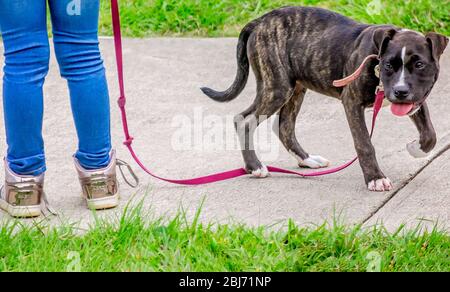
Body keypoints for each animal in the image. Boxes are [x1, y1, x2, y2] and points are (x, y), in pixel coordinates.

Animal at [202, 6, 448, 192]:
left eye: (419, 64)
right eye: (388, 65)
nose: (400, 91)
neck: (375, 61)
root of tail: (259, 21)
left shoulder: (416, 99)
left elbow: (430, 134)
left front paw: (416, 147)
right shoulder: (352, 102)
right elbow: (364, 143)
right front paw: (375, 178)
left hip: (296, 87)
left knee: (284, 125)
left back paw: (307, 159)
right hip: (277, 86)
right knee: (245, 120)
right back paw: (255, 167)